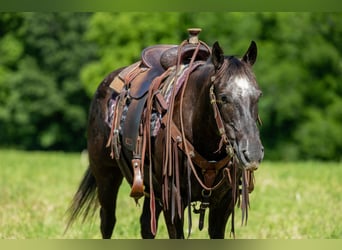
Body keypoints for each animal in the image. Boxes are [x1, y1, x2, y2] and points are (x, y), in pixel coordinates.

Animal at [67, 35, 264, 238]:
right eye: (223, 97)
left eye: (258, 95)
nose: (252, 153)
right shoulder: (173, 199)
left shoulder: (224, 203)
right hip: (106, 175)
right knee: (107, 221)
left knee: (146, 225)